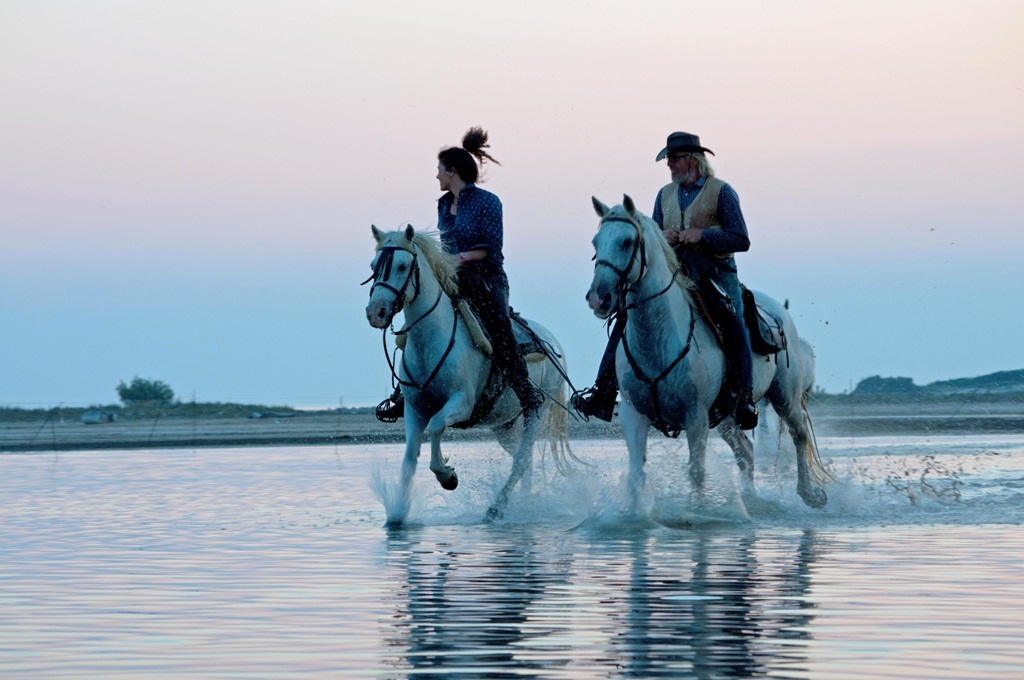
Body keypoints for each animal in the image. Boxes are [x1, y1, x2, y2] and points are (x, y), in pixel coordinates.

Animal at [364, 223, 573, 524]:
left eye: (402, 266)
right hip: (505, 425)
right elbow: (409, 457)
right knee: (525, 459)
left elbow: (436, 426)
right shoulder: (414, 410)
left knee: (522, 459)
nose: (376, 313)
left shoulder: (461, 403)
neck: (431, 339)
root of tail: (553, 342)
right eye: (374, 266)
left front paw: (447, 476)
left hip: (535, 413)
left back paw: (496, 509)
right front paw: (398, 515)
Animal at [589, 196, 827, 510]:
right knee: (746, 451)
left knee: (799, 435)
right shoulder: (633, 413)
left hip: (785, 396)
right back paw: (750, 500)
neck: (658, 342)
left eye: (627, 242)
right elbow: (637, 474)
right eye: (596, 242)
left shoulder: (696, 416)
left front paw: (699, 512)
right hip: (727, 416)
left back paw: (809, 494)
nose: (599, 298)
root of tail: (780, 313)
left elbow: (696, 472)